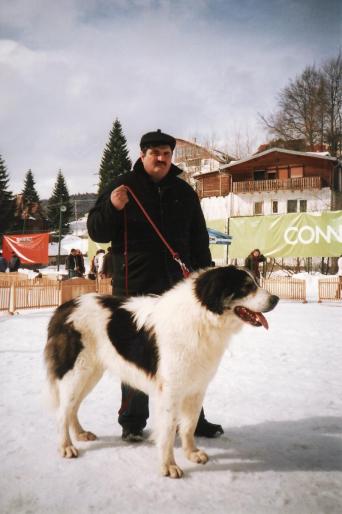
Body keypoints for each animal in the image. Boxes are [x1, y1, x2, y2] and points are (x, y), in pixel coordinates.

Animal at [44, 264, 280, 476]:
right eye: (246, 287)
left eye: (256, 282)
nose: (276, 299)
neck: (202, 318)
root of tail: (65, 307)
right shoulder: (170, 391)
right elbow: (167, 431)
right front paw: (169, 466)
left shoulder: (197, 388)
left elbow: (189, 425)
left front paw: (191, 453)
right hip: (76, 372)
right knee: (62, 411)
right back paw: (66, 446)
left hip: (90, 373)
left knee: (72, 407)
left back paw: (80, 434)